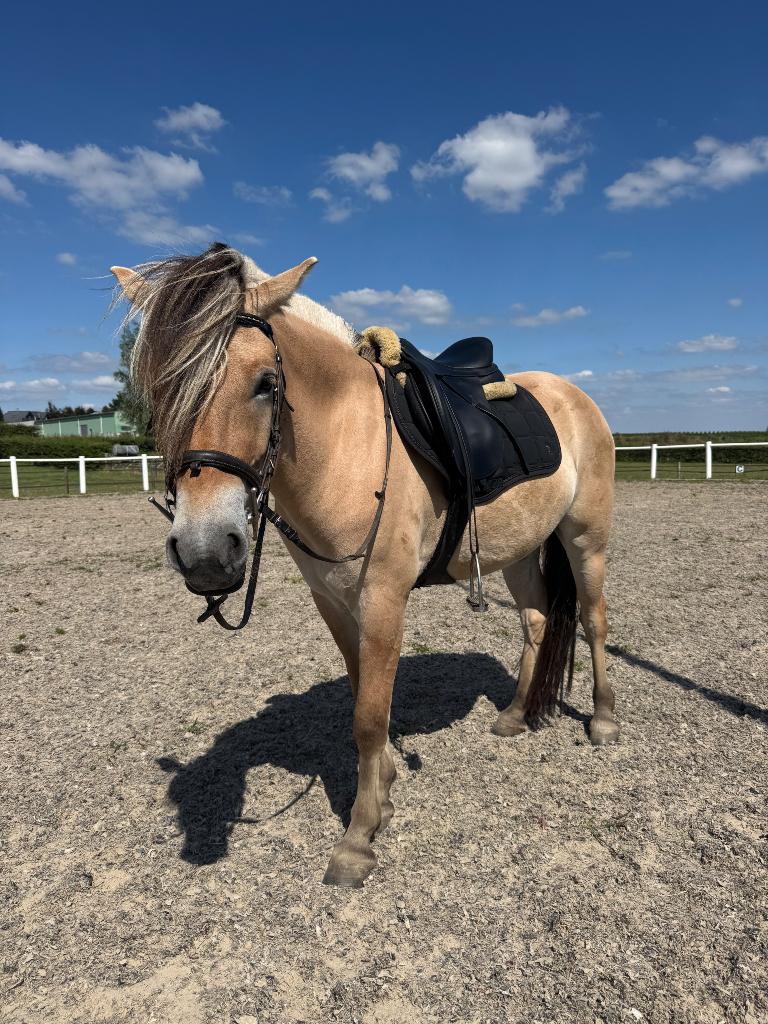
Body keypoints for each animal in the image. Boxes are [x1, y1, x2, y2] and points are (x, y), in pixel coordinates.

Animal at [111, 243, 618, 888]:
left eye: (266, 383)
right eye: (160, 391)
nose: (205, 554)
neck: (345, 450)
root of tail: (575, 395)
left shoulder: (383, 599)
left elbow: (371, 716)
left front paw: (358, 838)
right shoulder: (333, 599)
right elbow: (361, 698)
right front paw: (383, 791)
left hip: (585, 538)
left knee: (594, 621)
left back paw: (603, 721)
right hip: (522, 547)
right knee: (535, 621)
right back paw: (513, 715)